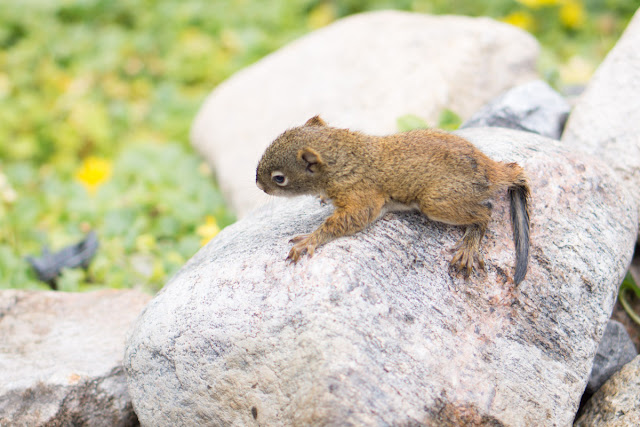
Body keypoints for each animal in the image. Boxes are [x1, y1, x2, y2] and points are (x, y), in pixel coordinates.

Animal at [255, 115, 528, 286]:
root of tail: (492, 170)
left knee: (485, 213)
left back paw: (469, 246)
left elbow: (347, 220)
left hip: (436, 201)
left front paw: (309, 240)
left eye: (279, 178)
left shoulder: (362, 195)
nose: (258, 184)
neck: (342, 157)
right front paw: (321, 198)